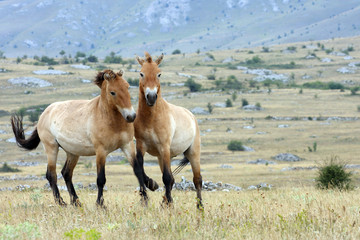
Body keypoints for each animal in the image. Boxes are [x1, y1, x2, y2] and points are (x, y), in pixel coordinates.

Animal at [10, 69, 136, 206]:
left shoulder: (128, 145)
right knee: (51, 174)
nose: (131, 116)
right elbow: (101, 179)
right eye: (112, 92)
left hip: (72, 152)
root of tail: (44, 113)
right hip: (52, 148)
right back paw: (61, 202)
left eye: (128, 87)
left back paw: (76, 202)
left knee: (66, 173)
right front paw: (100, 204)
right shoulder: (101, 151)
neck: (107, 116)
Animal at [134, 52, 204, 208]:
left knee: (197, 180)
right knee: (172, 179)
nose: (151, 97)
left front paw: (170, 204)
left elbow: (166, 178)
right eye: (141, 73)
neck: (151, 119)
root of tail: (191, 115)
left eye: (159, 74)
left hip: (192, 153)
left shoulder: (164, 147)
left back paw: (200, 208)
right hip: (163, 157)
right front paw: (148, 191)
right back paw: (164, 202)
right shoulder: (141, 145)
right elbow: (140, 169)